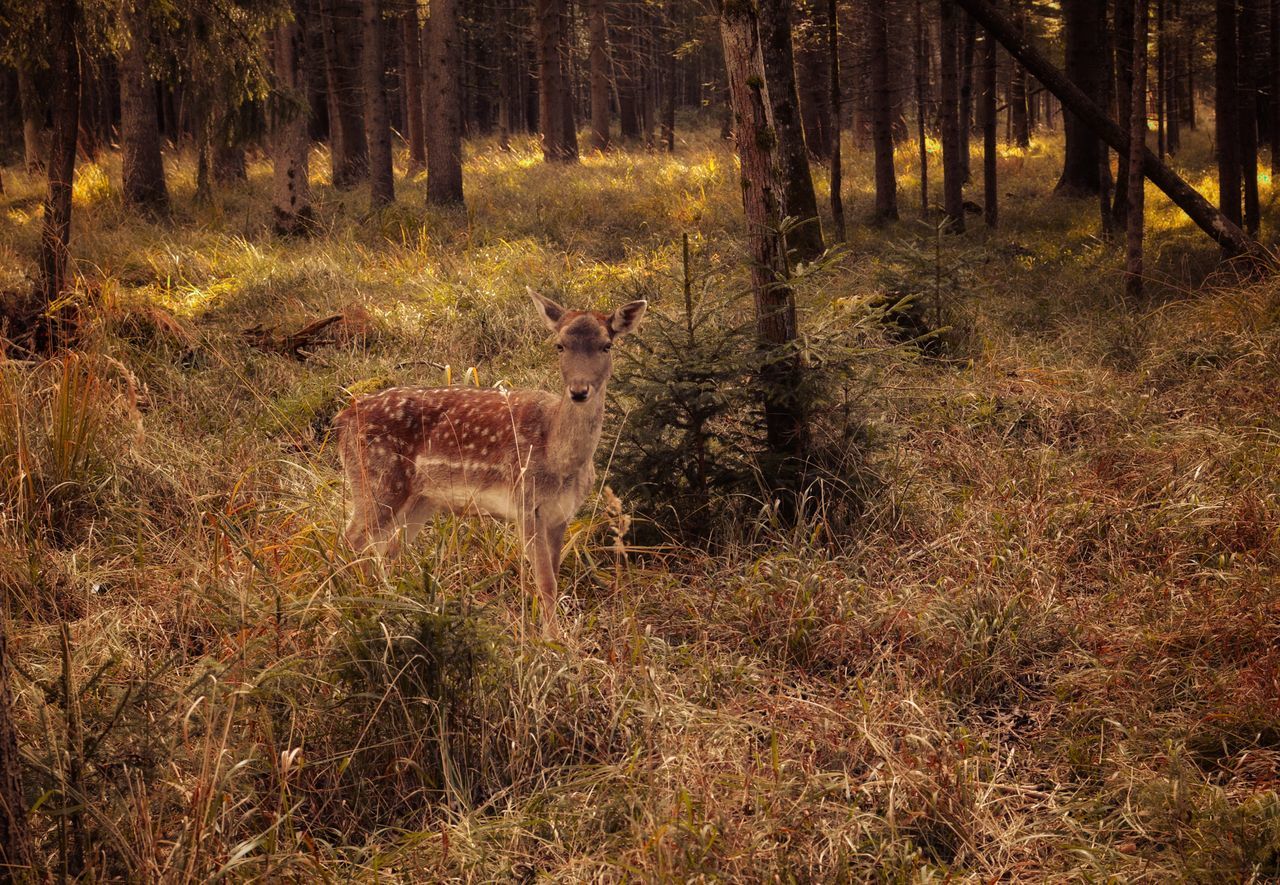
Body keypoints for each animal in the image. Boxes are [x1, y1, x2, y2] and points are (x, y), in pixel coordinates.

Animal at [335, 290, 645, 637]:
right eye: (560, 345)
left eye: (607, 345)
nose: (579, 391)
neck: (560, 459)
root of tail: (343, 419)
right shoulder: (525, 503)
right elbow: (545, 582)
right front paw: (554, 641)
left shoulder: (562, 513)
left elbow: (555, 574)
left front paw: (554, 635)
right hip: (376, 479)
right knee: (352, 541)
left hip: (420, 499)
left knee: (385, 552)